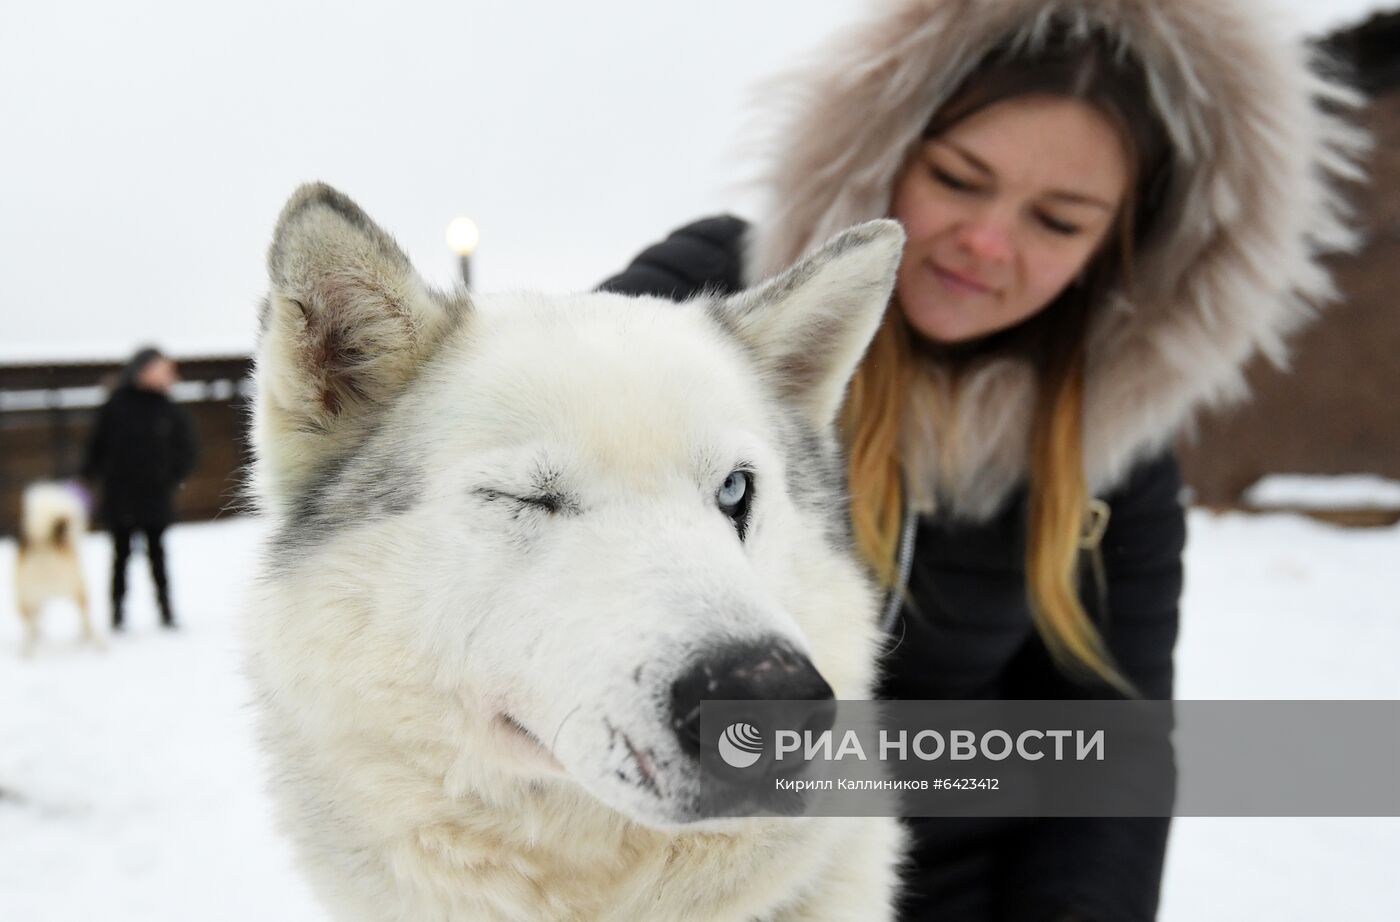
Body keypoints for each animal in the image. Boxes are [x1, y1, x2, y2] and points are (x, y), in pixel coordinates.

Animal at [15, 484, 101, 657]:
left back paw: (28, 652)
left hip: (29, 600)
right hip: (77, 590)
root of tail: (43, 544)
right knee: (87, 621)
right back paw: (98, 646)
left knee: (30, 627)